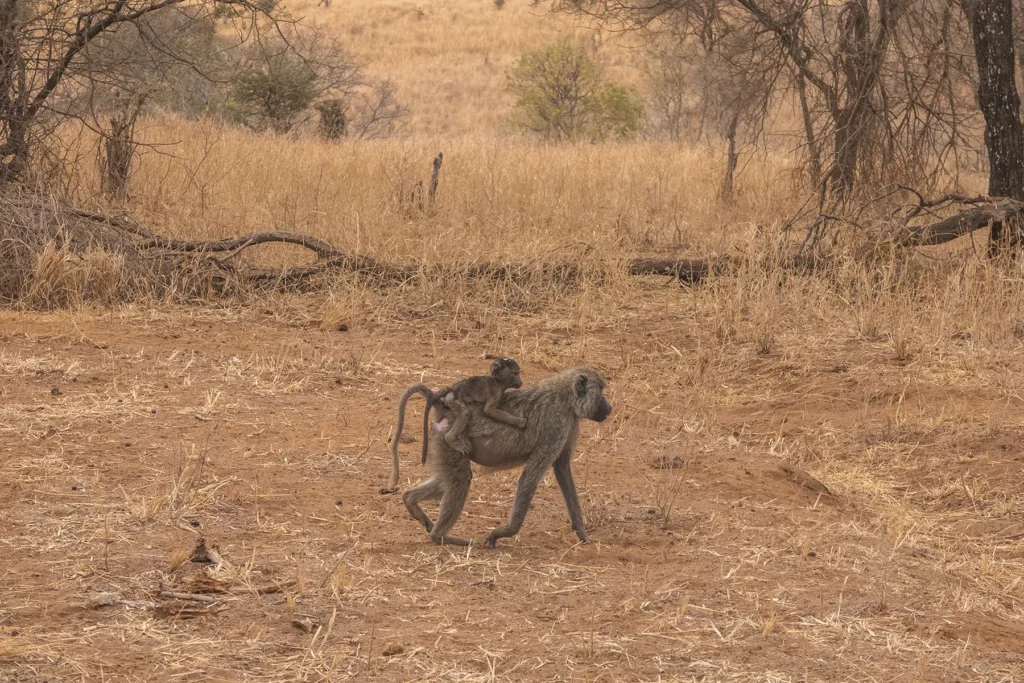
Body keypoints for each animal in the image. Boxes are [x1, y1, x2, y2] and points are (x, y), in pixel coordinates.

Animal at [390, 366, 612, 547]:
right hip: (449, 441)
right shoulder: (557, 422)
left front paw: (583, 534)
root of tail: (443, 405)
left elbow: (563, 468)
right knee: (460, 481)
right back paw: (442, 537)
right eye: (601, 391)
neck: (566, 396)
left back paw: (411, 501)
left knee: (446, 482)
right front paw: (503, 533)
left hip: (440, 443)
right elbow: (530, 477)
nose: (609, 408)